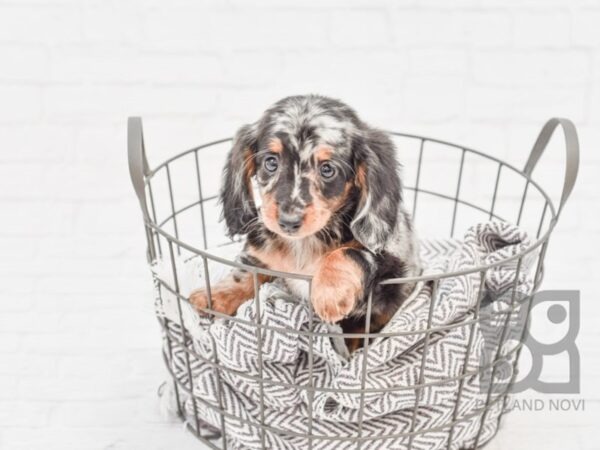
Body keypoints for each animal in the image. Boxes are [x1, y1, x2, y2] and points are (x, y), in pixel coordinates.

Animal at [190, 95, 420, 352]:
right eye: (271, 162)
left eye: (327, 169)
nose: (288, 222)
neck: (303, 245)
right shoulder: (262, 256)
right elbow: (246, 272)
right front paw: (216, 294)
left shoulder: (392, 273)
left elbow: (349, 253)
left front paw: (328, 294)